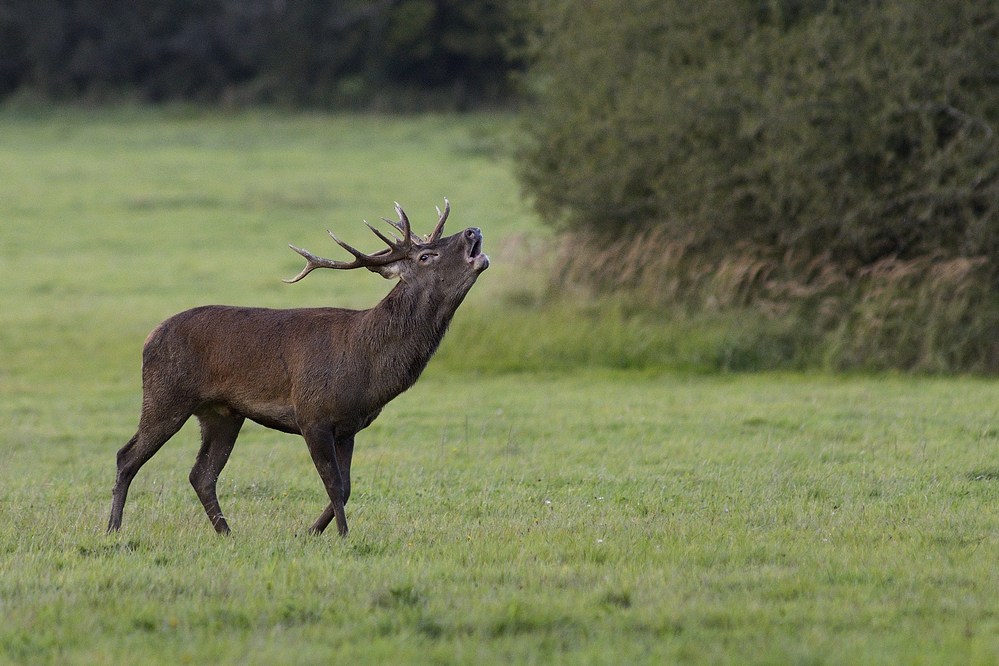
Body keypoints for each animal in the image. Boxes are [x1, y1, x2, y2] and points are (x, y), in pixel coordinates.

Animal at [105, 197, 488, 536]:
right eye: (426, 255)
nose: (473, 230)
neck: (367, 368)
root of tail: (149, 337)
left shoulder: (348, 427)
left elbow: (346, 486)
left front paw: (307, 533)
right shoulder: (312, 414)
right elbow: (334, 484)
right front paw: (342, 536)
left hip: (222, 413)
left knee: (201, 474)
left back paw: (227, 533)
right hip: (166, 395)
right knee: (127, 456)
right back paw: (112, 529)